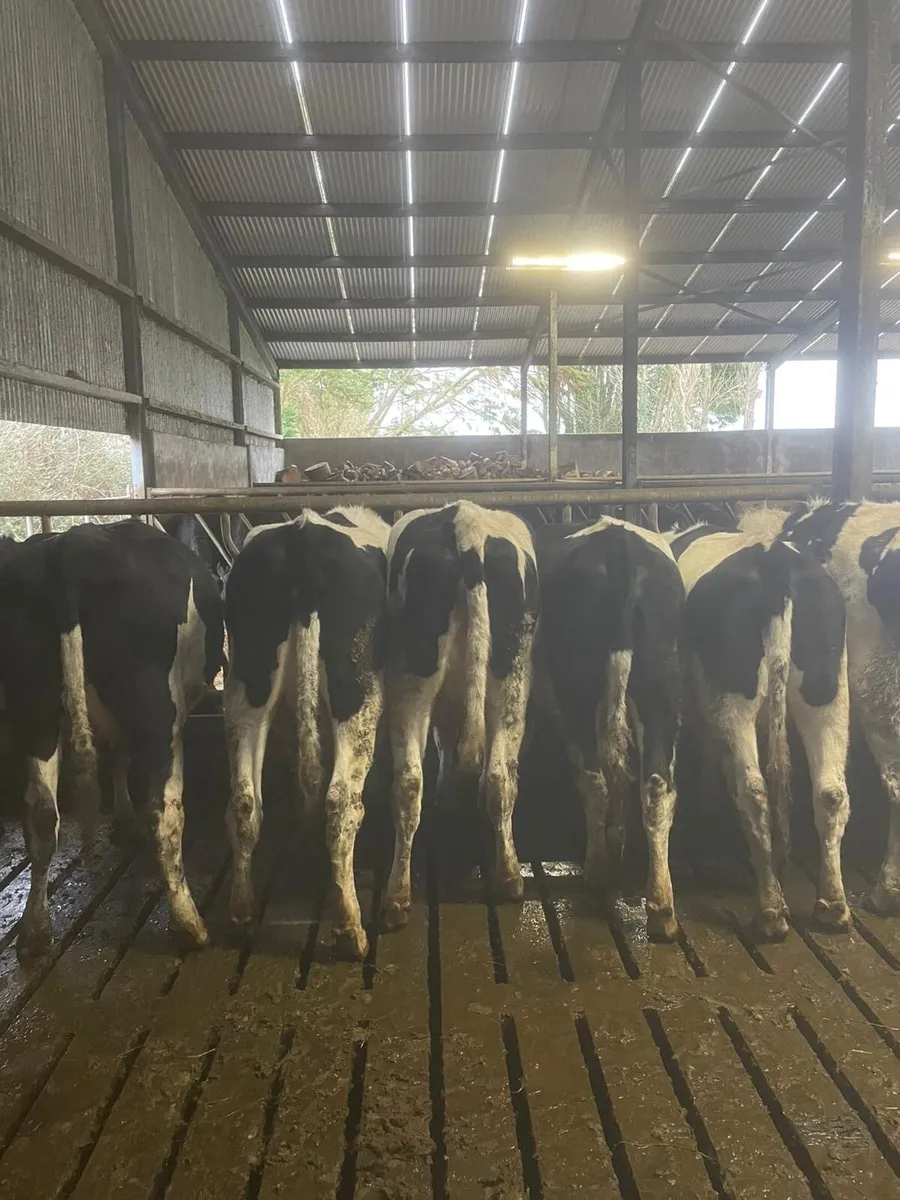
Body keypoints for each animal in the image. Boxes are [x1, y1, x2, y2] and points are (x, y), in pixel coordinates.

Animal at [0, 519, 224, 956]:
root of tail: (72, 545)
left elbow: (118, 755)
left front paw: (121, 816)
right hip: (156, 712)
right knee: (165, 814)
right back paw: (189, 923)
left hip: (35, 708)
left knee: (41, 813)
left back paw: (34, 932)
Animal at [223, 507, 389, 959]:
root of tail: (304, 536)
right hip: (357, 689)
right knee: (342, 801)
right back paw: (350, 928)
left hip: (247, 683)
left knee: (245, 799)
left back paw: (242, 914)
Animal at [383, 501, 538, 929]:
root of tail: (465, 520)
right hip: (511, 677)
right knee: (500, 776)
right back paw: (509, 878)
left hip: (411, 679)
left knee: (410, 780)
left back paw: (396, 896)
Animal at [533, 517, 685, 940]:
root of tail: (620, 550)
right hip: (660, 682)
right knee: (655, 785)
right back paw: (662, 909)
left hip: (577, 686)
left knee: (595, 776)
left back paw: (597, 868)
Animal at [670, 514, 851, 939]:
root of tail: (775, 564)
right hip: (828, 689)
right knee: (830, 791)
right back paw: (832, 906)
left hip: (733, 693)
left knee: (753, 790)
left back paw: (771, 912)